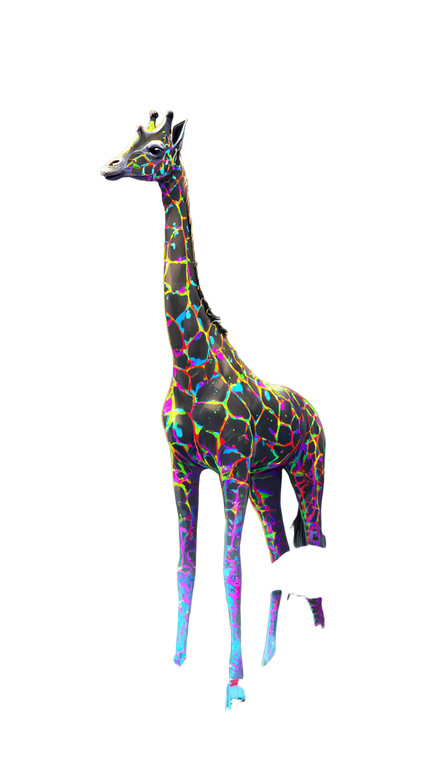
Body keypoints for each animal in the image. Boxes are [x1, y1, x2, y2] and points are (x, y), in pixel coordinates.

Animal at [97, 107, 329, 715]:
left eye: (156, 150)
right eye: (130, 139)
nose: (108, 168)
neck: (187, 361)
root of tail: (316, 411)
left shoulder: (230, 468)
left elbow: (230, 569)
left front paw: (233, 687)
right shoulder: (180, 466)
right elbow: (187, 562)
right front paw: (180, 661)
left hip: (308, 473)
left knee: (316, 541)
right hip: (269, 482)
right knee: (284, 549)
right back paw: (271, 656)